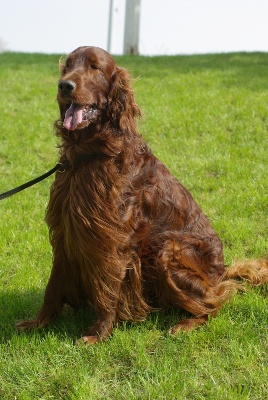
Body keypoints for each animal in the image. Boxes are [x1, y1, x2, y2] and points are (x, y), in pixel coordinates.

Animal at [17, 45, 268, 342]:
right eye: (67, 66)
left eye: (95, 67)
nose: (64, 85)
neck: (90, 155)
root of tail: (221, 272)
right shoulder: (66, 230)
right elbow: (53, 286)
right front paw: (38, 322)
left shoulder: (112, 237)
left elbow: (108, 288)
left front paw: (99, 334)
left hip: (168, 251)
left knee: (216, 302)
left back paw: (187, 323)